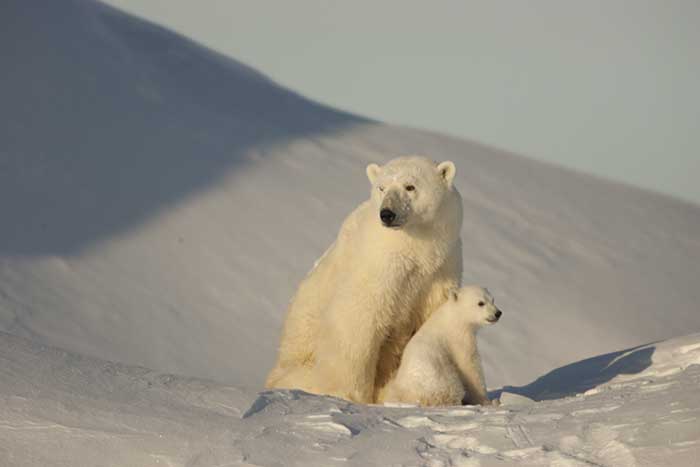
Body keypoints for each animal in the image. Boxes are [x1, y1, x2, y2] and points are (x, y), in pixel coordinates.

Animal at [266, 155, 462, 404]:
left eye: (410, 186)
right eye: (382, 187)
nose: (387, 213)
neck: (415, 250)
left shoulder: (440, 270)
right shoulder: (376, 264)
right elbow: (358, 317)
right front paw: (349, 394)